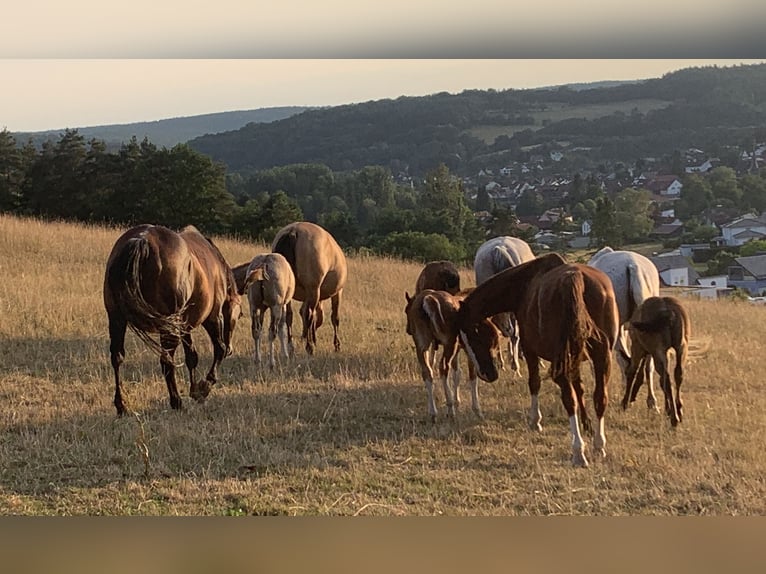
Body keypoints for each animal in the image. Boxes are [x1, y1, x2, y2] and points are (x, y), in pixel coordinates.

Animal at [103, 224, 242, 416]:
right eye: (237, 315)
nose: (231, 349)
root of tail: (142, 240)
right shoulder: (214, 317)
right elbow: (218, 349)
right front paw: (204, 387)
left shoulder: (185, 326)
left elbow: (192, 357)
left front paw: (195, 390)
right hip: (169, 327)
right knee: (166, 361)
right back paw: (176, 401)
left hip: (117, 319)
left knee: (117, 357)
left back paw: (121, 405)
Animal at [271, 221, 347, 355]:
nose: (303, 335)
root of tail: (293, 231)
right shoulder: (337, 292)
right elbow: (334, 318)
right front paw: (336, 345)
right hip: (313, 289)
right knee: (309, 314)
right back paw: (309, 347)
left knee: (289, 316)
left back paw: (291, 346)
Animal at [405, 288, 501, 421]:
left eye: (406, 310)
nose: (408, 330)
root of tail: (427, 300)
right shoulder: (467, 350)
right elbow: (472, 376)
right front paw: (476, 410)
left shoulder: (458, 350)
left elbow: (457, 373)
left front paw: (457, 401)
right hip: (449, 344)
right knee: (443, 367)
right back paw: (450, 410)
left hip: (422, 346)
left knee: (427, 372)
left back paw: (433, 412)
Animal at [456, 252, 620, 467]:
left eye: (472, 335)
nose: (486, 374)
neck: (525, 285)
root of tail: (575, 279)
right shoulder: (573, 359)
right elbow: (580, 389)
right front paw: (587, 425)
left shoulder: (529, 350)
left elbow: (534, 383)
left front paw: (535, 421)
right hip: (602, 356)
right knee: (600, 397)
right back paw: (599, 446)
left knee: (569, 400)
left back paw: (578, 451)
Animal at [622, 296, 690, 427]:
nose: (633, 399)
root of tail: (667, 311)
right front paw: (668, 409)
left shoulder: (637, 348)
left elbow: (632, 372)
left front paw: (625, 403)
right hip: (681, 347)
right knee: (677, 375)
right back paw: (678, 411)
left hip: (657, 350)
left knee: (666, 379)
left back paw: (674, 418)